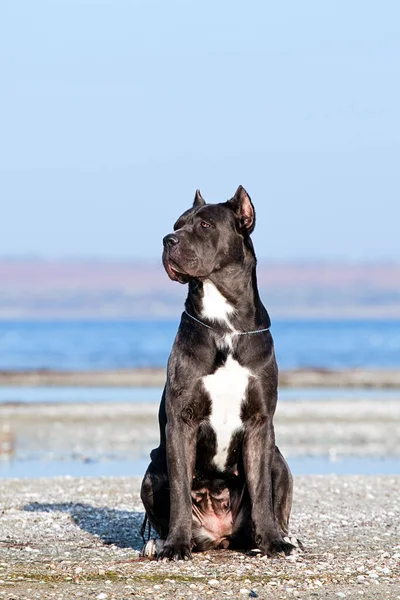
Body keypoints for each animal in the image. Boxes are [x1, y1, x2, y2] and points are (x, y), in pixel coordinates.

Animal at [141, 185, 300, 560]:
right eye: (177, 224)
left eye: (205, 225)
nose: (168, 240)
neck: (224, 324)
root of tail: (221, 535)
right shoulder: (180, 422)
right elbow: (180, 491)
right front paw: (176, 545)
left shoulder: (260, 423)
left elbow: (262, 491)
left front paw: (272, 542)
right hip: (152, 469)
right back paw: (158, 542)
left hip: (279, 458)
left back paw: (283, 537)